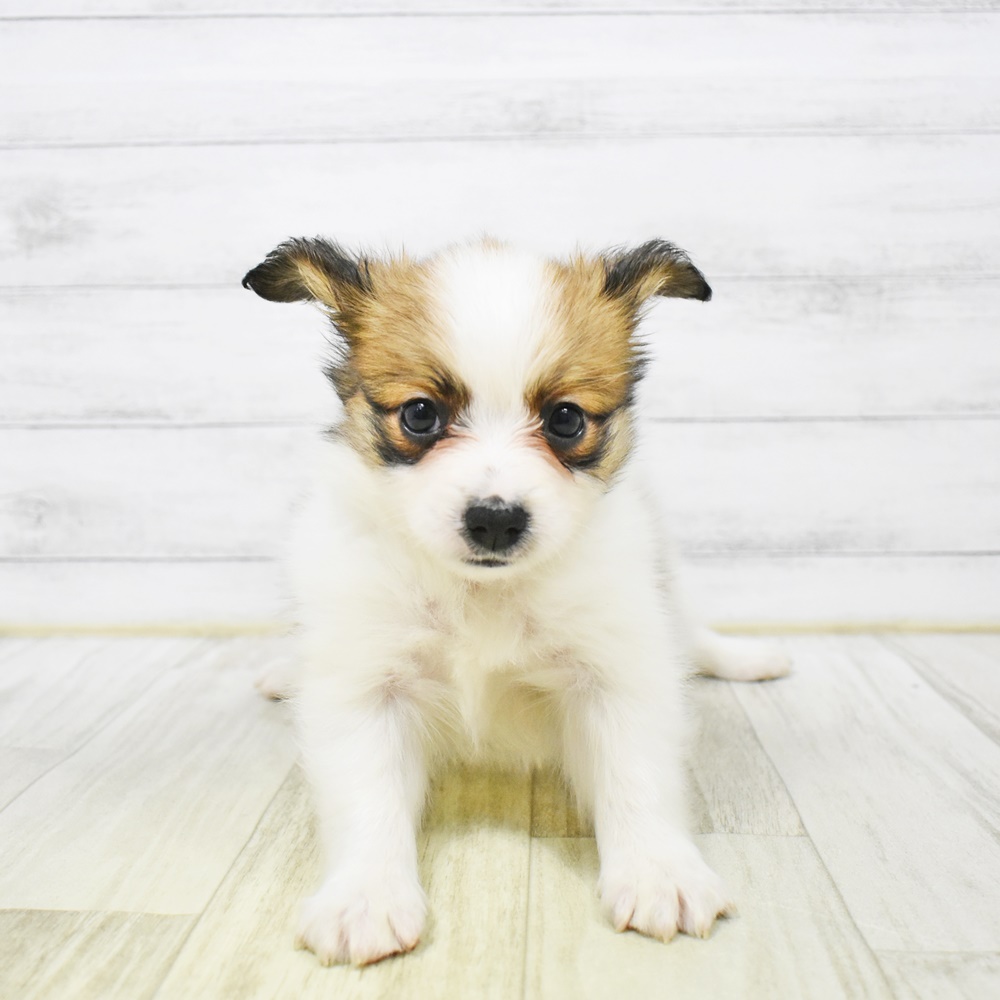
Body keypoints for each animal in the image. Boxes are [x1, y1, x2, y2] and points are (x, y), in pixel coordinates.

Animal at [242, 237, 790, 967]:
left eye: (565, 419)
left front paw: (658, 872)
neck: (483, 592)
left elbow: (636, 774)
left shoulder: (614, 665)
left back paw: (748, 658)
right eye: (420, 414)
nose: (495, 519)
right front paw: (366, 898)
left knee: (691, 632)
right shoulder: (366, 679)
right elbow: (368, 796)